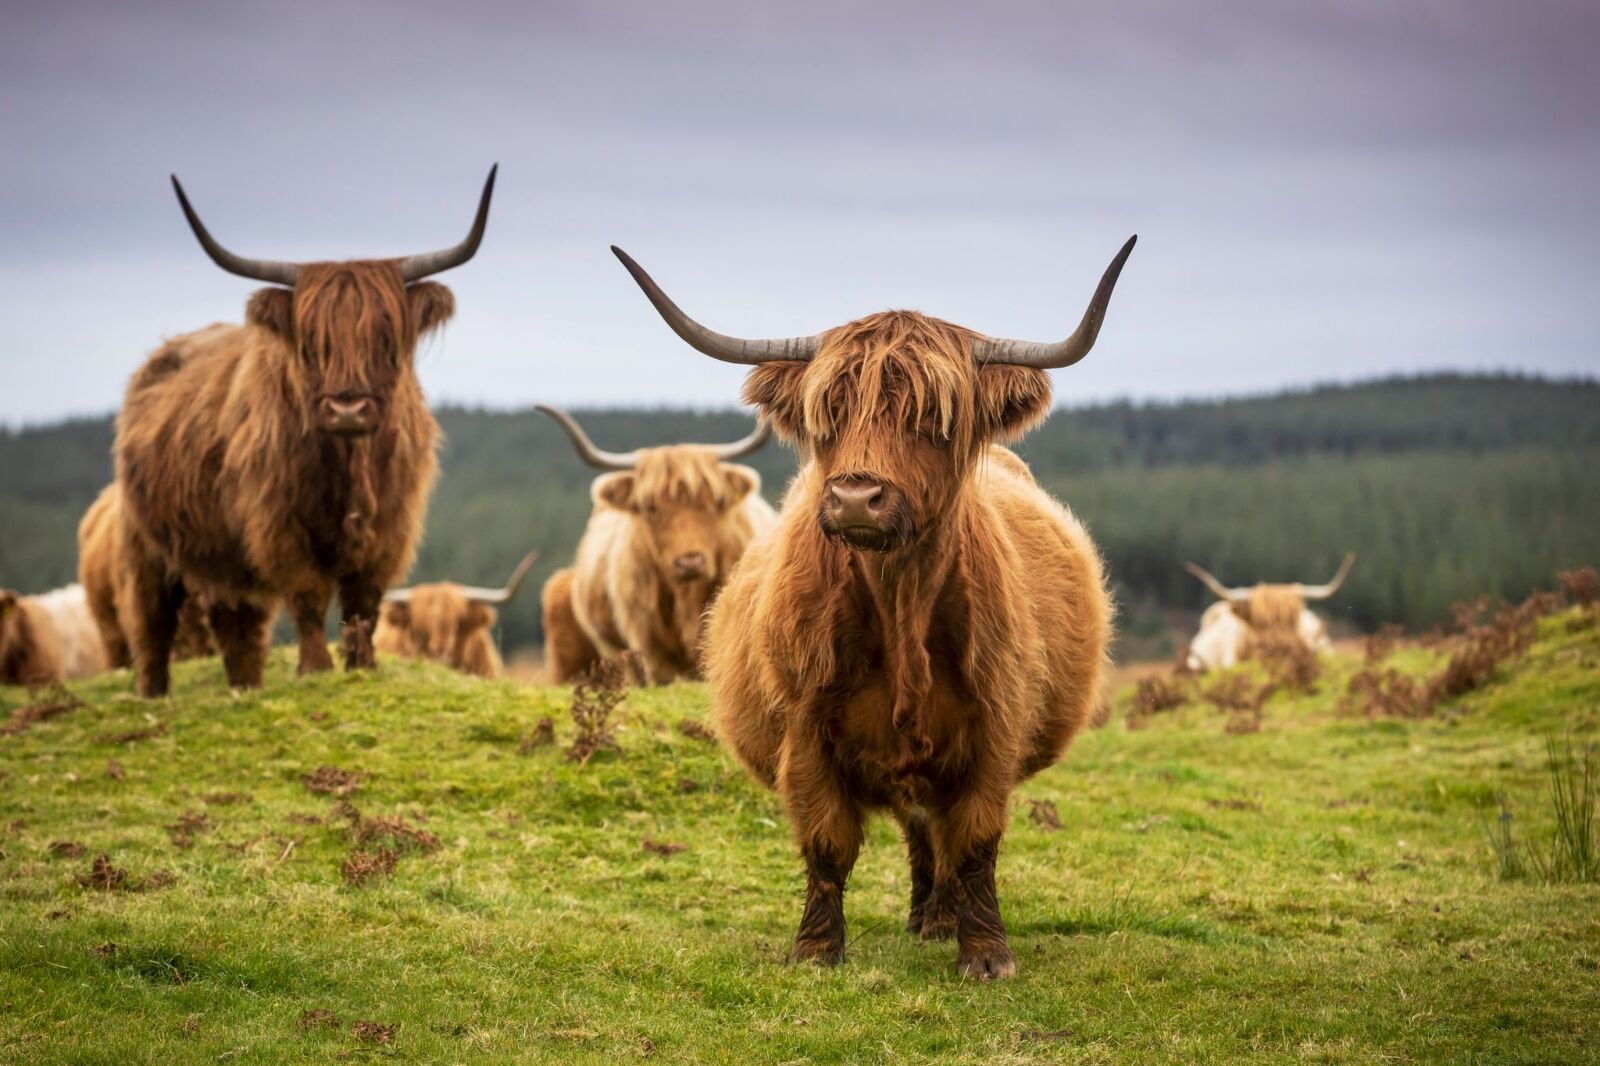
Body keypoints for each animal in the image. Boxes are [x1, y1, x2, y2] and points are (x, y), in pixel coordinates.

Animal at [111, 166, 492, 694]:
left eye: (385, 335)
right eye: (312, 340)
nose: (348, 407)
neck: (349, 461)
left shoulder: (390, 527)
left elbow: (365, 602)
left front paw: (363, 665)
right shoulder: (279, 522)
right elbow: (308, 595)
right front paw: (316, 667)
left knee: (234, 624)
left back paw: (244, 689)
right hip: (144, 544)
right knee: (150, 624)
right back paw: (154, 694)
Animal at [604, 236, 1132, 973]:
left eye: (934, 418)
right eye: (829, 414)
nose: (857, 496)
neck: (898, 601)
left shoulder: (996, 726)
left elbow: (975, 842)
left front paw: (986, 954)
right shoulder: (803, 729)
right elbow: (827, 843)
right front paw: (815, 951)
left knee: (936, 834)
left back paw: (939, 921)